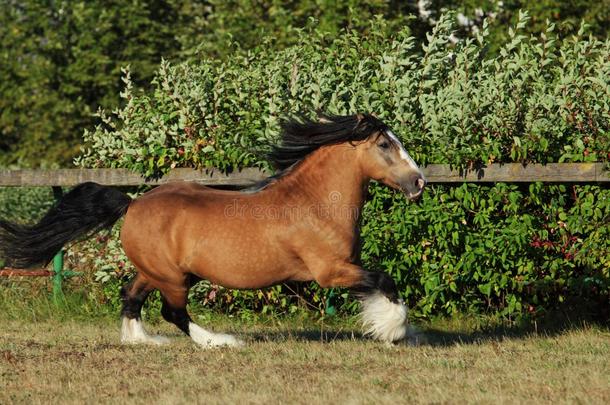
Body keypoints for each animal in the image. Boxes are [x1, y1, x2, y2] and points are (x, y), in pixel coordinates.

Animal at [0, 114, 426, 348]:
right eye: (385, 144)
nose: (419, 182)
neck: (314, 202)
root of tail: (132, 204)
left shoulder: (345, 268)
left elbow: (379, 284)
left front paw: (398, 331)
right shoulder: (330, 271)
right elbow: (385, 281)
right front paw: (395, 331)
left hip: (159, 271)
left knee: (131, 297)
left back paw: (144, 340)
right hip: (173, 277)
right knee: (172, 311)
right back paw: (220, 342)